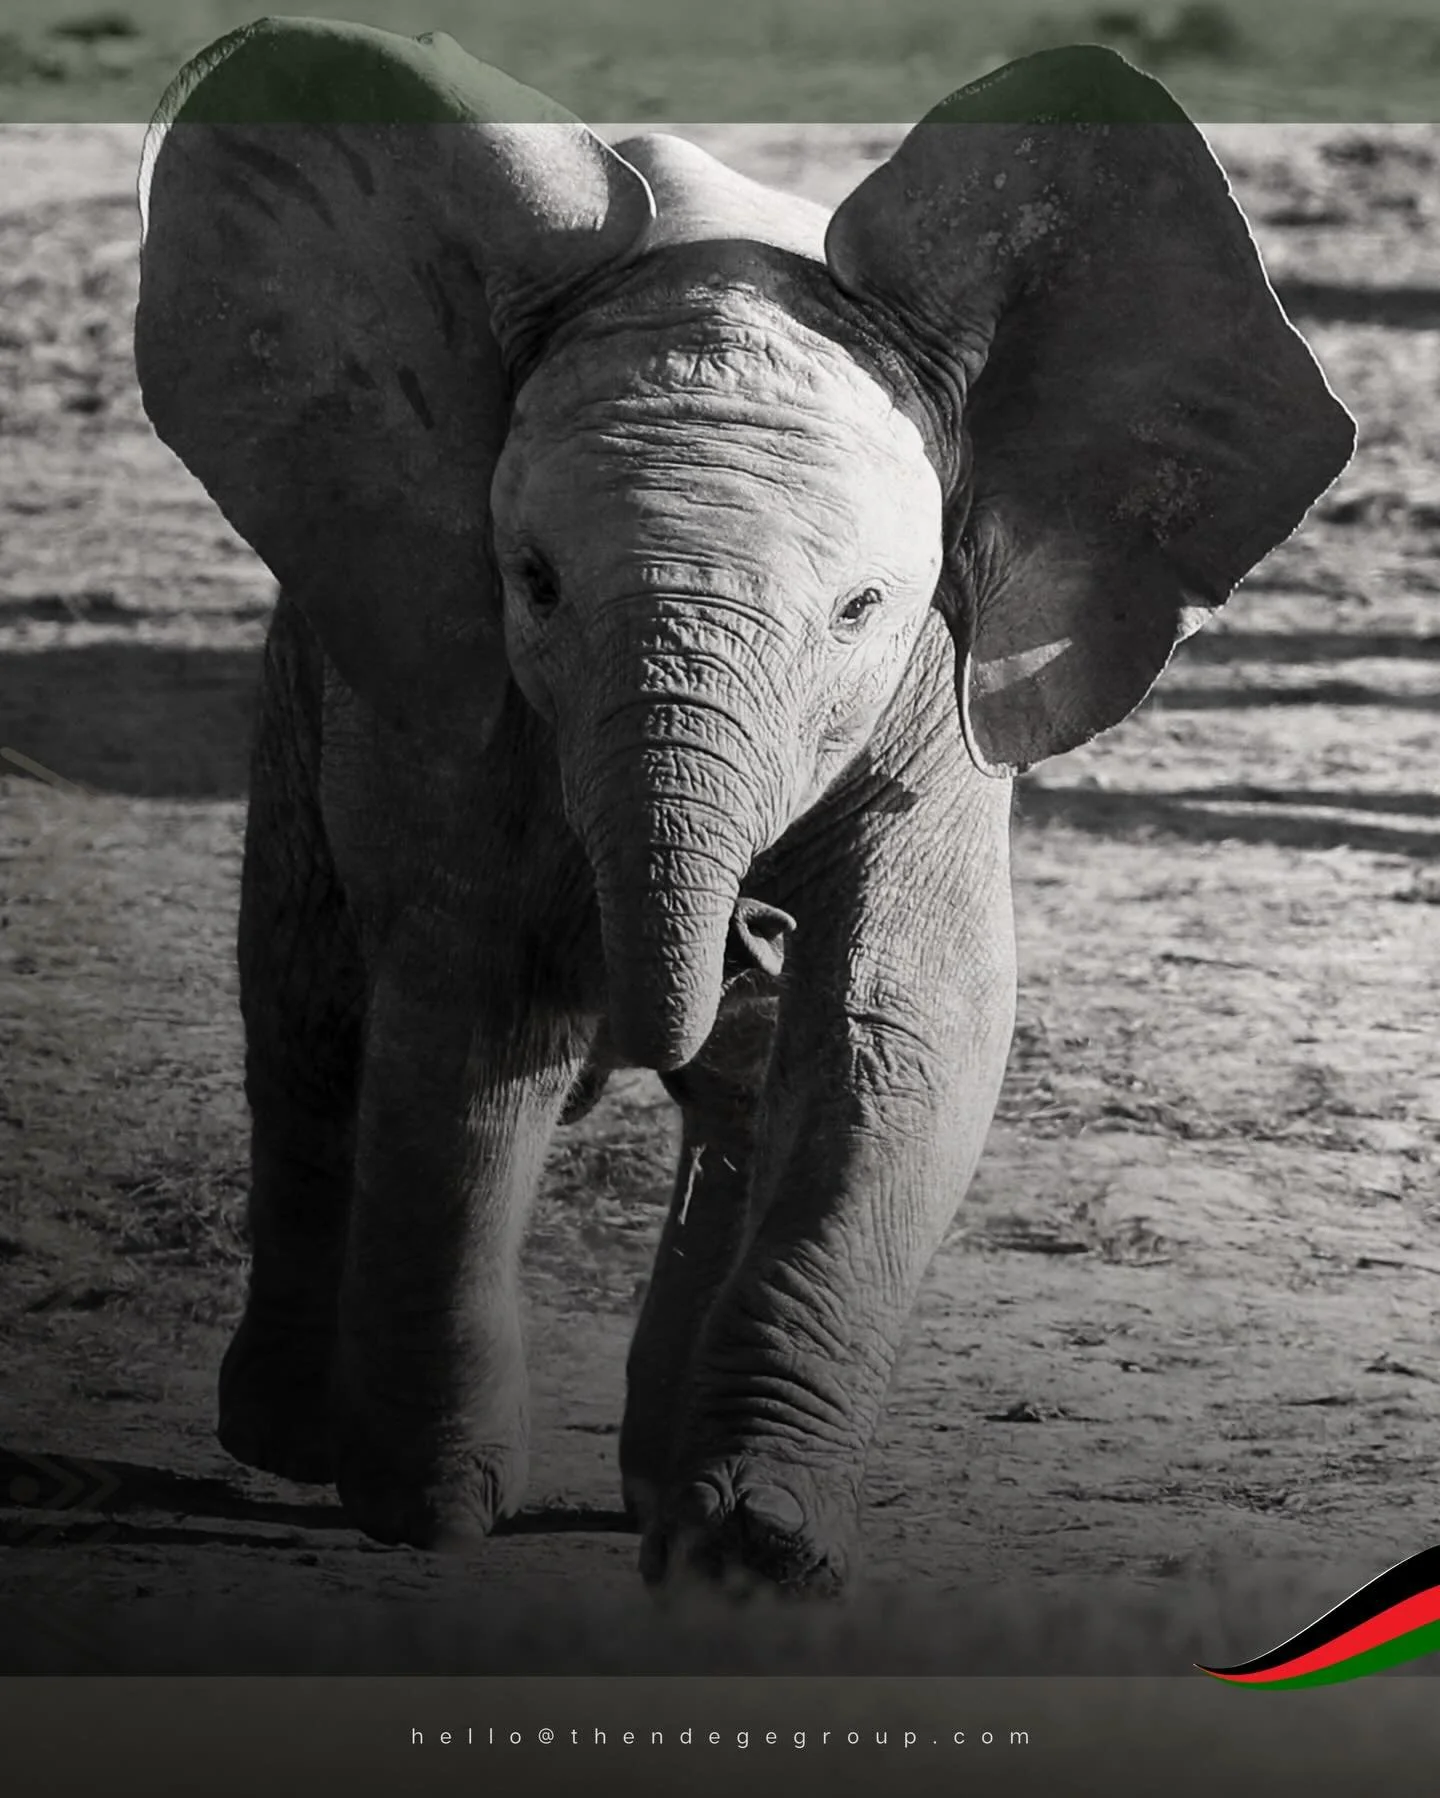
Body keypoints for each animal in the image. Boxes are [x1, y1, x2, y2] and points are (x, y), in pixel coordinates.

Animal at [134, 17, 1354, 1594]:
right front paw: (428, 1508)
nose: (749, 930)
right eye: (534, 581)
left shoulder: (942, 679)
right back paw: (288, 1437)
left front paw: (757, 1548)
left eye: (861, 608)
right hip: (317, 646)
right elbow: (475, 1012)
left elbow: (899, 1024)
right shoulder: (467, 690)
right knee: (308, 1001)